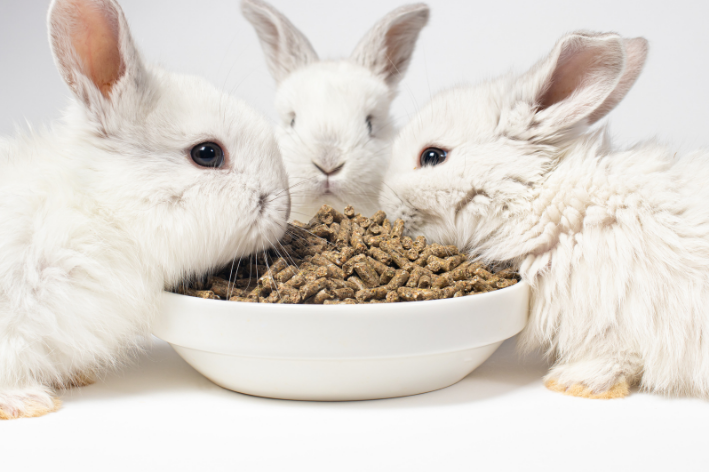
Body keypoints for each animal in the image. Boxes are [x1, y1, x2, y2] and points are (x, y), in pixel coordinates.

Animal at [382, 29, 709, 398]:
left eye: (433, 156)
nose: (386, 209)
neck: (541, 198)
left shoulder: (617, 314)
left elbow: (616, 357)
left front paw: (572, 383)